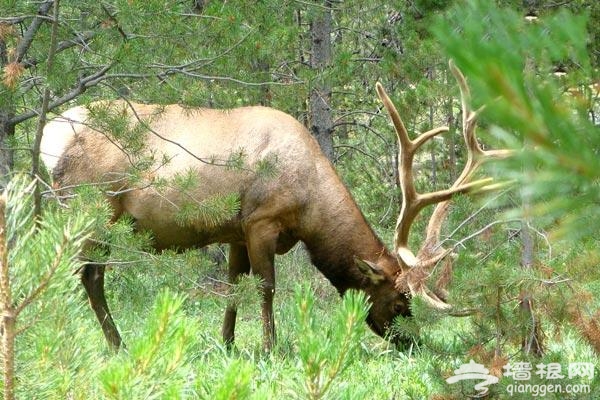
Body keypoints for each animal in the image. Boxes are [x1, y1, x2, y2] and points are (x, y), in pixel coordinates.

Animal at [39, 61, 508, 352]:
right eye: (397, 302)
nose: (413, 343)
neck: (309, 208)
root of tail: (48, 135)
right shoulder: (262, 220)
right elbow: (266, 288)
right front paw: (270, 347)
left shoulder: (234, 229)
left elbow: (233, 286)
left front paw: (228, 344)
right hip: (90, 208)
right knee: (77, 276)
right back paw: (100, 344)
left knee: (87, 277)